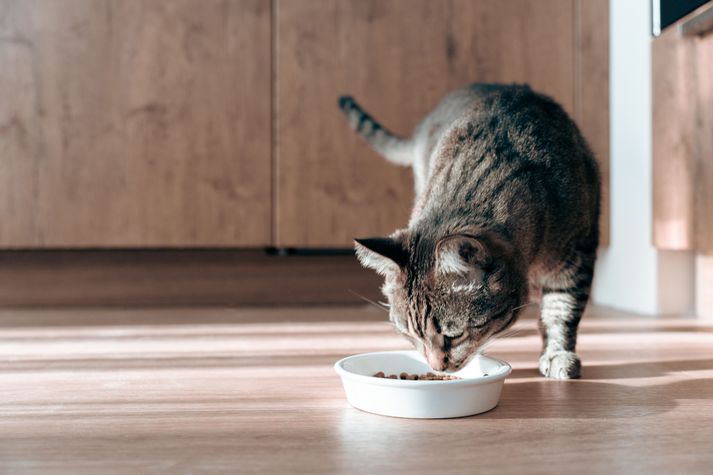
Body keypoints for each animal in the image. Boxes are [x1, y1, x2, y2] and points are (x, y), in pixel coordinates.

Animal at [340, 82, 600, 380]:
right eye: (410, 334)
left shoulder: (576, 256)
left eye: (454, 336)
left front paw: (558, 354)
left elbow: (561, 311)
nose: (435, 367)